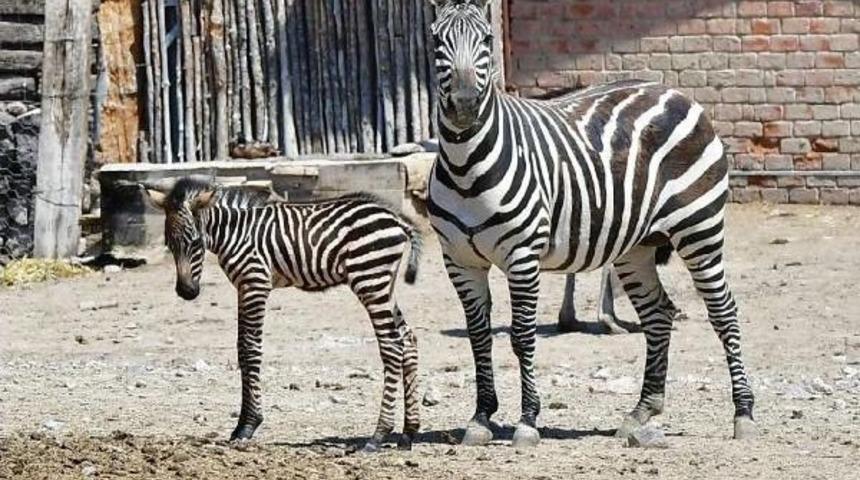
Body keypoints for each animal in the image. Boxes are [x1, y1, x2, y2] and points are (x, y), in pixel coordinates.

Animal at [142, 177, 421, 452]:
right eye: (169, 244)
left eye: (196, 242)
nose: (187, 292)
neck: (234, 232)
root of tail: (396, 218)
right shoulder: (243, 287)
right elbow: (241, 349)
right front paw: (242, 424)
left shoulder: (255, 283)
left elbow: (250, 349)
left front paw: (248, 425)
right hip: (384, 284)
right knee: (408, 339)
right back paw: (408, 433)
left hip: (370, 279)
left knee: (392, 346)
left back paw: (378, 436)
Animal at [426, 0, 757, 447]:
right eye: (436, 39)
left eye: (487, 39)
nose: (463, 105)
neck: (465, 167)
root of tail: (673, 91)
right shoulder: (459, 261)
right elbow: (479, 337)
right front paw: (481, 418)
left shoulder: (522, 256)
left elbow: (521, 335)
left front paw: (527, 421)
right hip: (638, 245)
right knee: (659, 314)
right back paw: (641, 412)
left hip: (699, 229)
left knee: (724, 313)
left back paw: (743, 414)